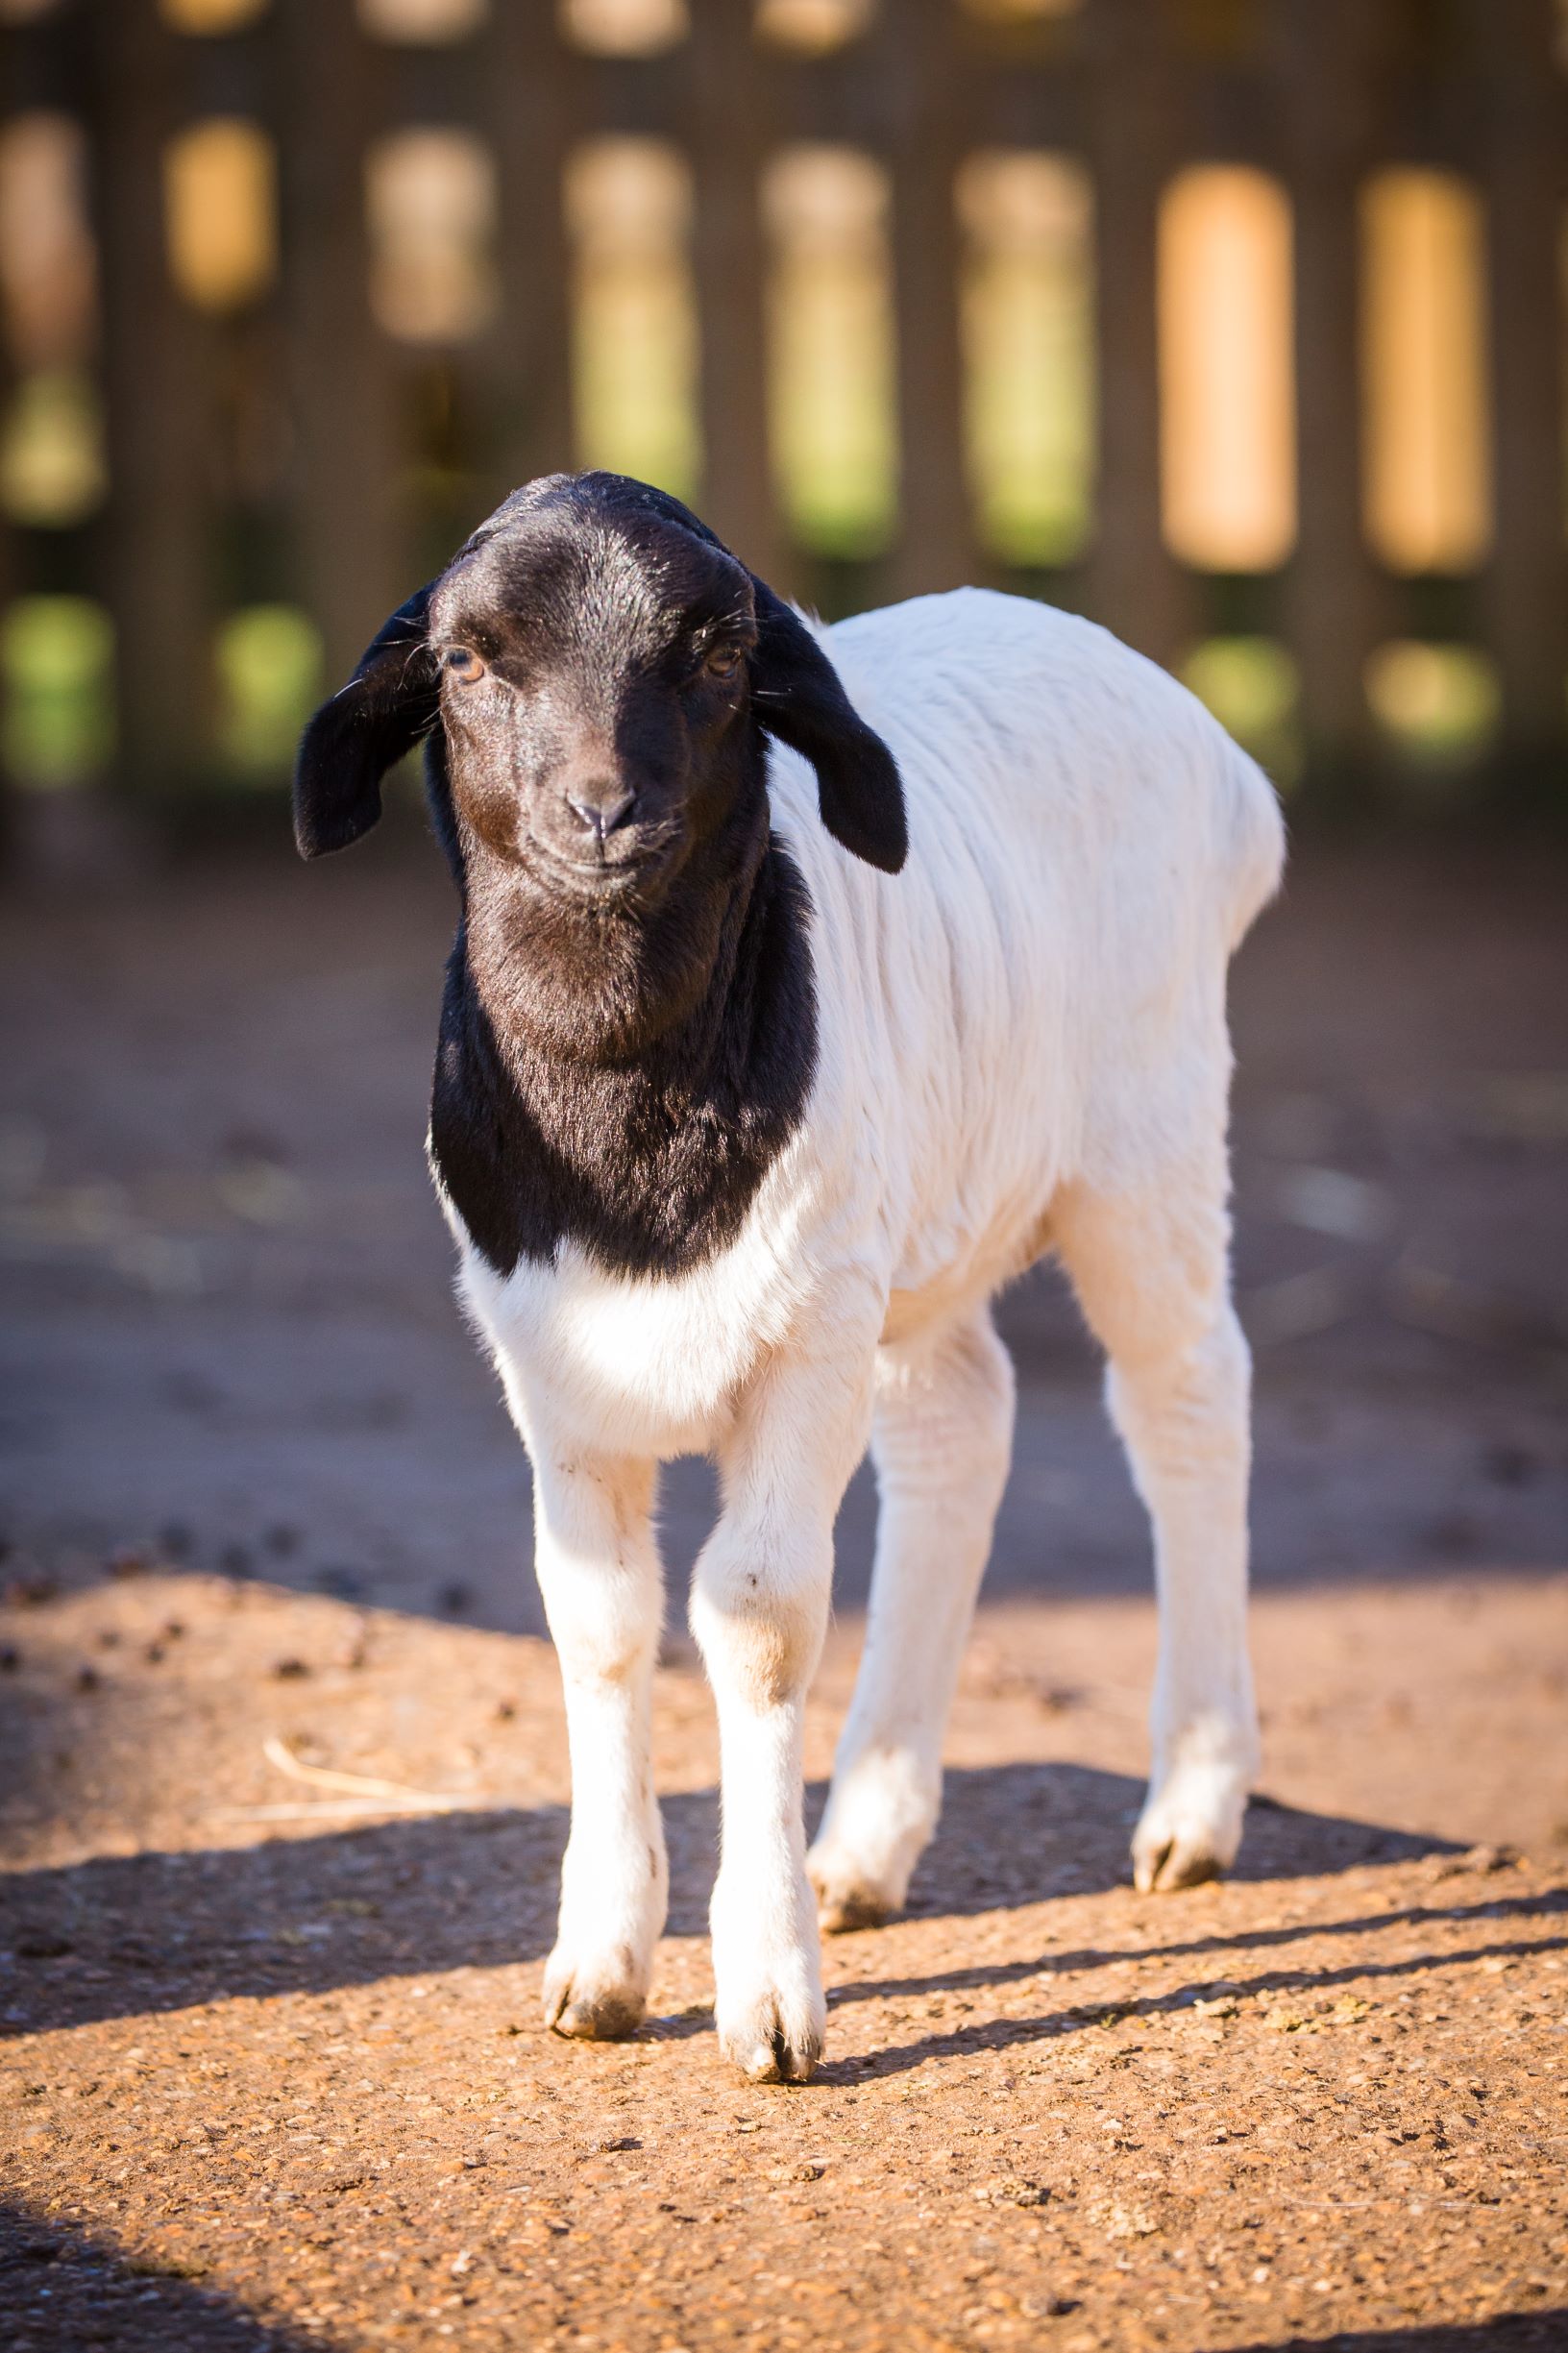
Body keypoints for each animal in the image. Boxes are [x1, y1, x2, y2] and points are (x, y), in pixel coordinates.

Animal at [293, 468, 1281, 2089]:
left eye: (716, 653)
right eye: (468, 661)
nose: (603, 809)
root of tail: (1215, 749)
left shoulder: (806, 1336)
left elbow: (753, 1623)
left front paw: (765, 1993)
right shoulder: (550, 1362)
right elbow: (600, 1617)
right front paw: (601, 1964)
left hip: (1143, 1137)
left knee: (1189, 1404)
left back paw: (1192, 1809)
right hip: (913, 1227)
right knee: (962, 1427)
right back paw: (865, 1847)